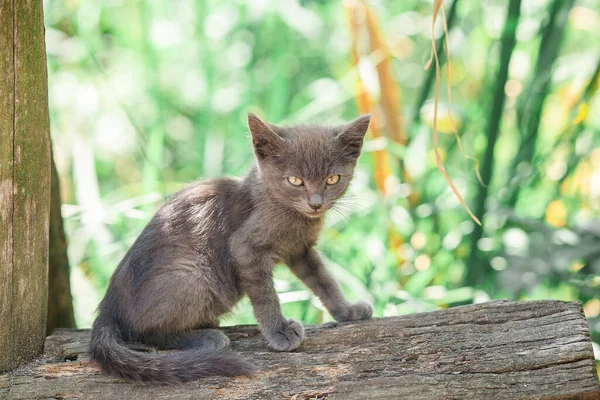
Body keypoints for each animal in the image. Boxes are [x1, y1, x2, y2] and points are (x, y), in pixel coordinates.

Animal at [89, 112, 372, 382]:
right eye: (295, 180)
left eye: (332, 179)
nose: (315, 203)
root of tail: (108, 308)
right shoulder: (246, 248)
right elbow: (265, 295)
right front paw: (279, 332)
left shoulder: (300, 250)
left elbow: (324, 279)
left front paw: (346, 310)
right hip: (193, 274)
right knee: (143, 332)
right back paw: (207, 337)